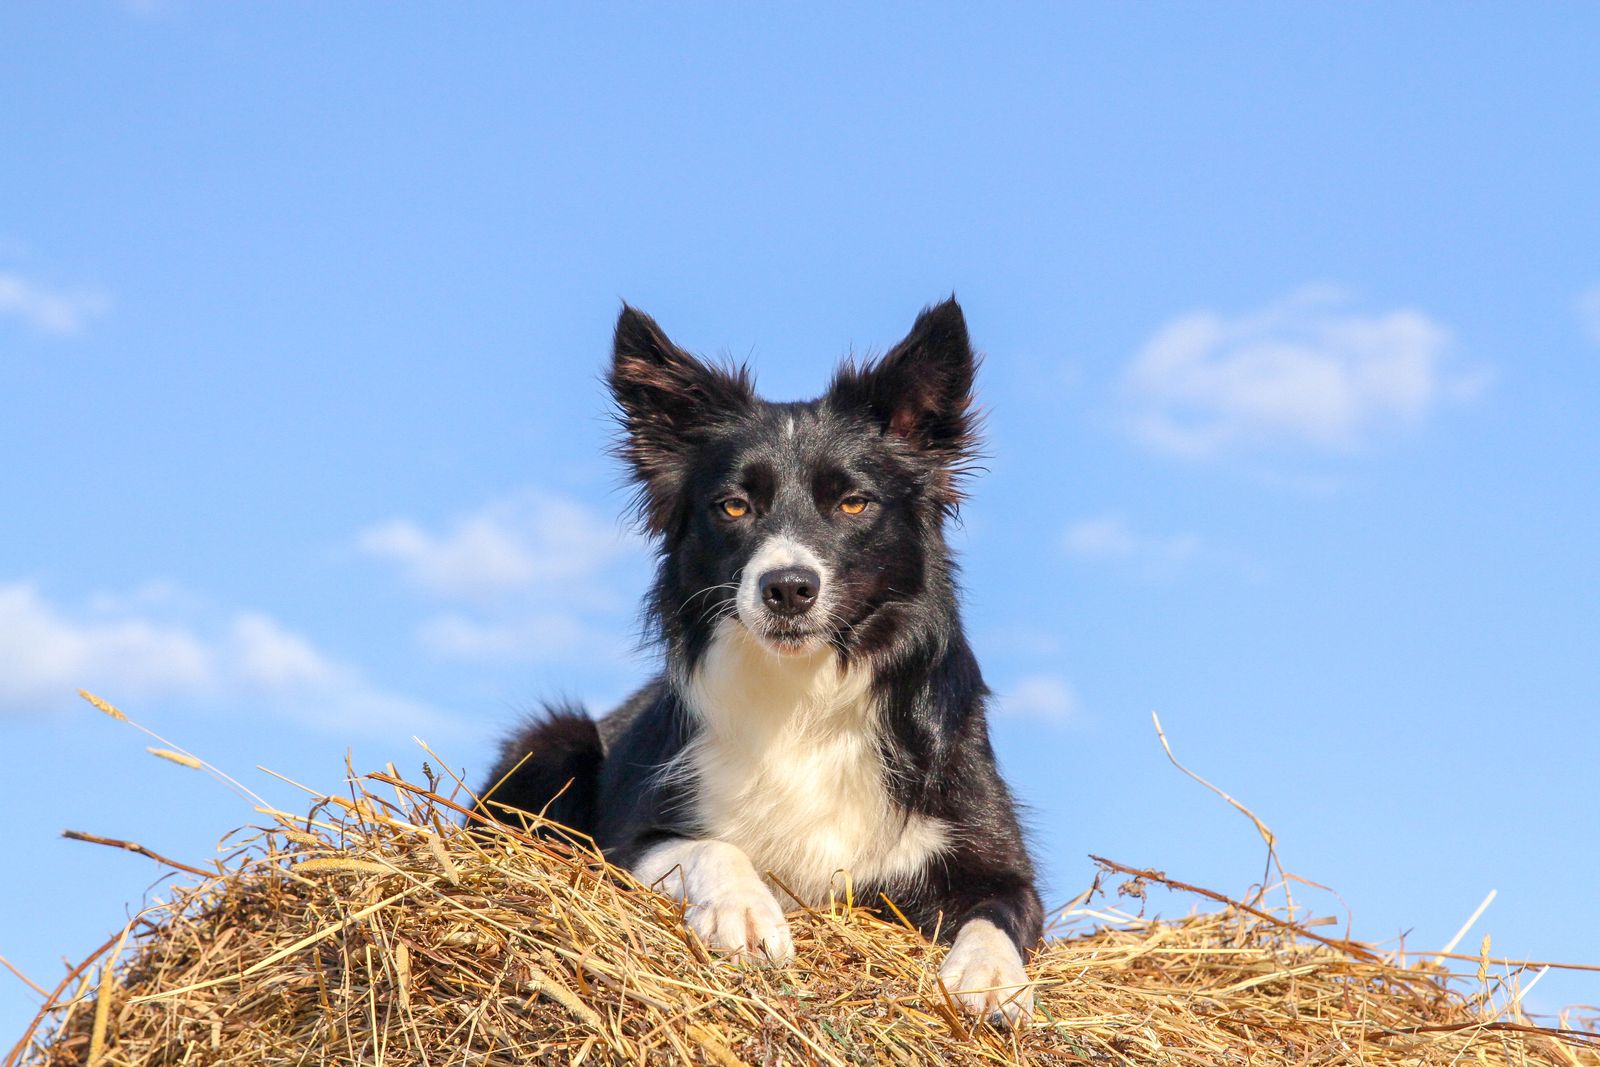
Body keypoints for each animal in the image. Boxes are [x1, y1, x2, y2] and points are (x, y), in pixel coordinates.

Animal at [477, 299, 1042, 1025]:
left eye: (853, 502)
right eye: (734, 506)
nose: (788, 588)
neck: (802, 691)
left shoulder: (998, 863)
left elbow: (995, 914)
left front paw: (990, 977)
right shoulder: (628, 840)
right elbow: (713, 847)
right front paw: (745, 912)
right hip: (554, 738)